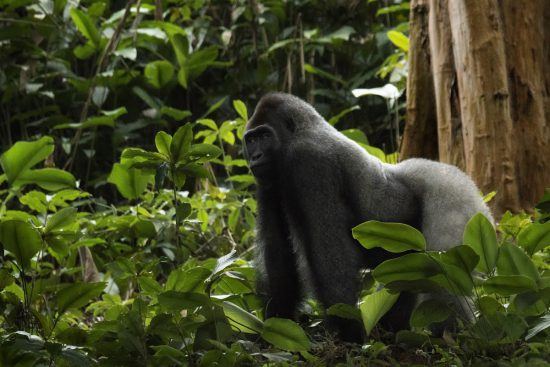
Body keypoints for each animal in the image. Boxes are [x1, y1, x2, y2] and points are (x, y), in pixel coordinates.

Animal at [244, 92, 494, 342]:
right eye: (251, 140)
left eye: (265, 136)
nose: (255, 156)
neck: (301, 131)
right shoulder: (269, 183)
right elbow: (279, 255)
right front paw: (278, 320)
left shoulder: (309, 161)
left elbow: (331, 257)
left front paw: (348, 331)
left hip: (456, 196)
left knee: (442, 277)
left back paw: (455, 335)